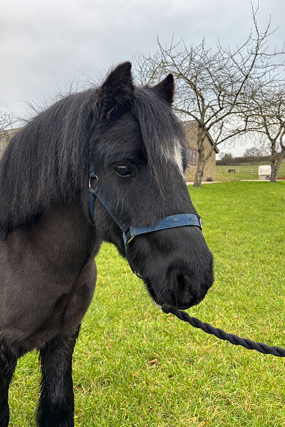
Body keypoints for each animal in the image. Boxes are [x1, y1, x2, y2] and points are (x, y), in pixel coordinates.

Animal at [0, 61, 213, 426]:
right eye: (123, 167)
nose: (193, 278)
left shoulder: (62, 339)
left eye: (183, 164)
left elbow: (58, 407)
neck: (27, 258)